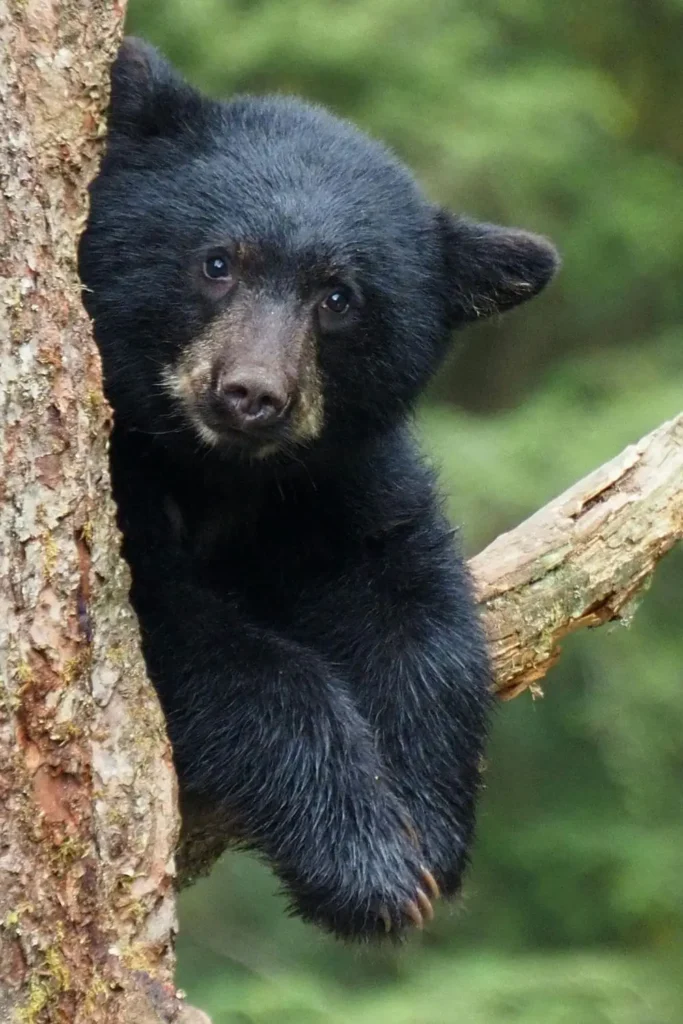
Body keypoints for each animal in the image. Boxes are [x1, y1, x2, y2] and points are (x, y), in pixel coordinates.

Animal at [78, 37, 559, 941]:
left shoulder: (335, 476)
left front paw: (428, 825)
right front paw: (366, 863)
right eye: (218, 263)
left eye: (338, 297)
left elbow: (408, 596)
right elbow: (213, 646)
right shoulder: (123, 485)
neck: (218, 472)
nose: (250, 395)